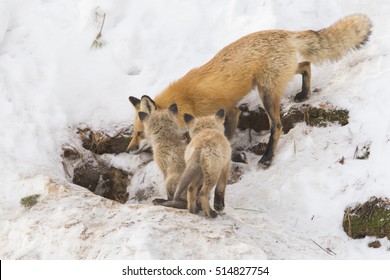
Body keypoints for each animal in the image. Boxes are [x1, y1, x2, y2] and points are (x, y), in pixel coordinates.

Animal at [128, 14, 372, 167]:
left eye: (141, 133)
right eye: (134, 132)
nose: (129, 150)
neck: (185, 100)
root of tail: (284, 32)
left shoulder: (229, 110)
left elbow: (226, 138)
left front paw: (238, 156)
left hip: (267, 93)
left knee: (277, 125)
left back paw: (267, 158)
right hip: (276, 78)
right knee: (306, 65)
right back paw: (304, 93)